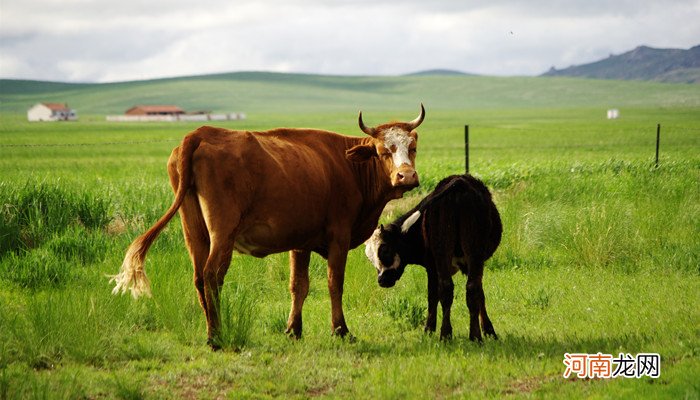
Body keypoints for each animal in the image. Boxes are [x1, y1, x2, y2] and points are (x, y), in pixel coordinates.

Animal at [111, 105, 424, 346]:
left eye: (413, 148)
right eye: (383, 151)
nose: (406, 176)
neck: (348, 166)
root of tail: (200, 134)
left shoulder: (301, 242)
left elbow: (299, 285)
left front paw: (293, 330)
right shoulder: (339, 237)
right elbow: (334, 283)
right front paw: (341, 330)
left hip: (194, 232)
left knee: (199, 277)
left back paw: (211, 331)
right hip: (222, 232)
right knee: (212, 276)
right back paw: (216, 336)